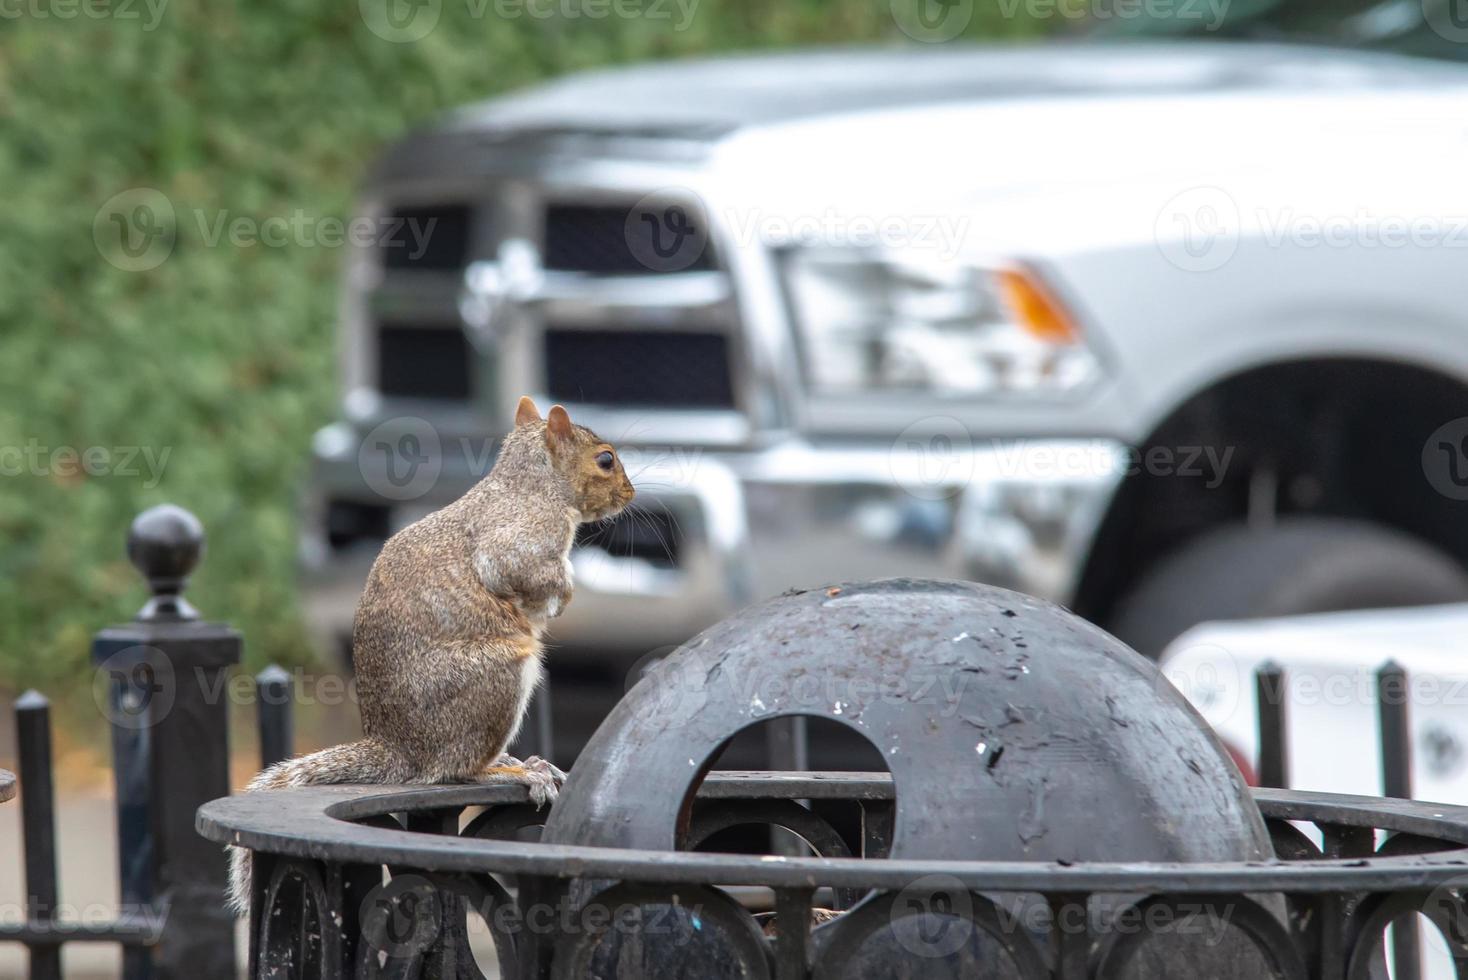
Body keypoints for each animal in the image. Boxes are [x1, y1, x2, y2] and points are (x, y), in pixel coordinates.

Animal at [227, 393, 637, 915]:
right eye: (605, 460)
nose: (631, 494)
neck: (533, 484)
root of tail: (401, 748)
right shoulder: (520, 540)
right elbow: (522, 573)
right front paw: (562, 595)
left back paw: (520, 761)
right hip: (498, 677)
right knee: (456, 769)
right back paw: (514, 771)